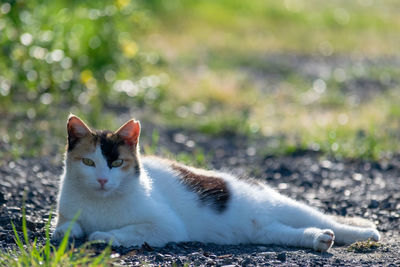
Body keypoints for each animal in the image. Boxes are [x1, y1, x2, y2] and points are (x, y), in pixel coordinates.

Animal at [51, 115, 380, 253]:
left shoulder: (166, 227)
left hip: (283, 205)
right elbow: (64, 227)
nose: (103, 180)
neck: (101, 203)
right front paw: (74, 231)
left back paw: (365, 232)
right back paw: (319, 240)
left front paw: (103, 235)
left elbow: (122, 231)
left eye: (117, 163)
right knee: (293, 232)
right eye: (89, 163)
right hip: (263, 231)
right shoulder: (64, 214)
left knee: (324, 218)